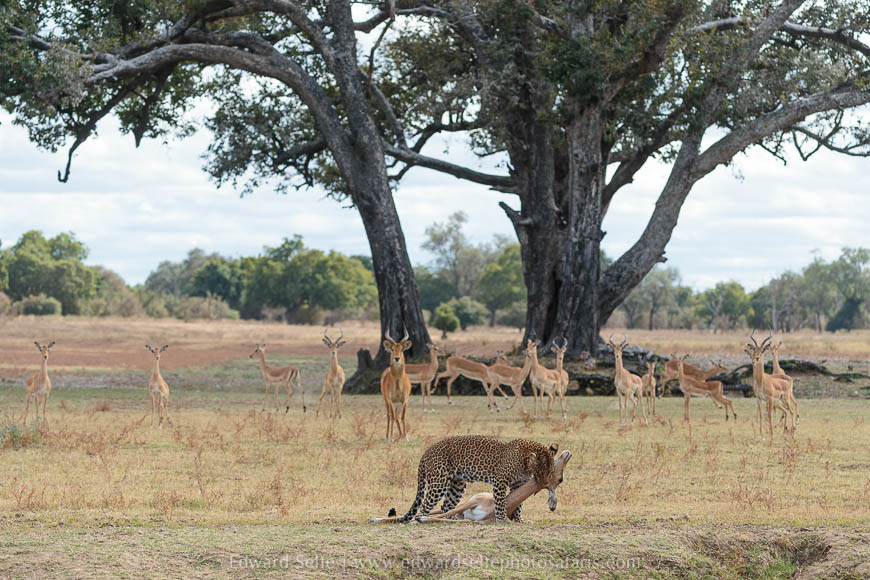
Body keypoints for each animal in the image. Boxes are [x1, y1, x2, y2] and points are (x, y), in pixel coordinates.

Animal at [370, 450, 573, 524]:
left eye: (560, 479)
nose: (567, 453)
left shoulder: (474, 520)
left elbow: (456, 519)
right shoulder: (470, 503)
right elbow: (444, 514)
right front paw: (421, 518)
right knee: (431, 510)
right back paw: (378, 518)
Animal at [396, 435, 558, 523]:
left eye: (550, 472)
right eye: (541, 471)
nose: (544, 484)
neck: (524, 461)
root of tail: (426, 453)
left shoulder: (518, 484)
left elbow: (519, 504)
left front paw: (519, 520)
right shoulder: (500, 481)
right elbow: (501, 503)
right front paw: (502, 520)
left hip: (457, 484)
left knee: (446, 506)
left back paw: (452, 520)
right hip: (439, 483)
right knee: (424, 506)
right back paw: (419, 520)